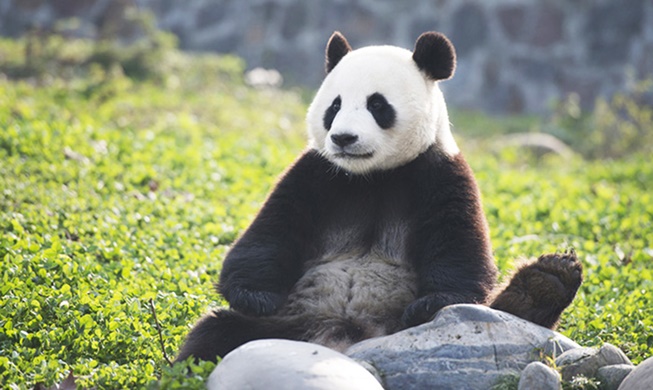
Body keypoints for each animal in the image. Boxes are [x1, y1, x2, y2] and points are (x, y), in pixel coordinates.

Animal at [174, 30, 580, 362]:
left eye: (377, 105)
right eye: (334, 106)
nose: (343, 138)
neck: (372, 177)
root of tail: (340, 340)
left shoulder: (438, 172)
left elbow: (458, 249)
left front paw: (430, 304)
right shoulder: (316, 172)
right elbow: (271, 230)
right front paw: (256, 295)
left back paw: (543, 284)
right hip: (281, 326)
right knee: (216, 334)